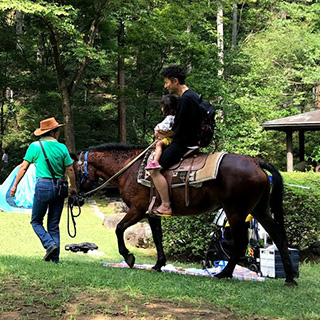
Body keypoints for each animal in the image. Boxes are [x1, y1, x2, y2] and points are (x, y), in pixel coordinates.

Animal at [72, 144, 298, 286]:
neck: (130, 169)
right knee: (277, 234)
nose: (73, 196)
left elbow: (119, 228)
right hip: (259, 209)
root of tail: (255, 162)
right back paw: (289, 277)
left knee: (241, 241)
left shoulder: (137, 209)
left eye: (73, 171)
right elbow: (157, 237)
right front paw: (158, 264)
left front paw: (128, 256)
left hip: (236, 211)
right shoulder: (152, 213)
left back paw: (224, 273)